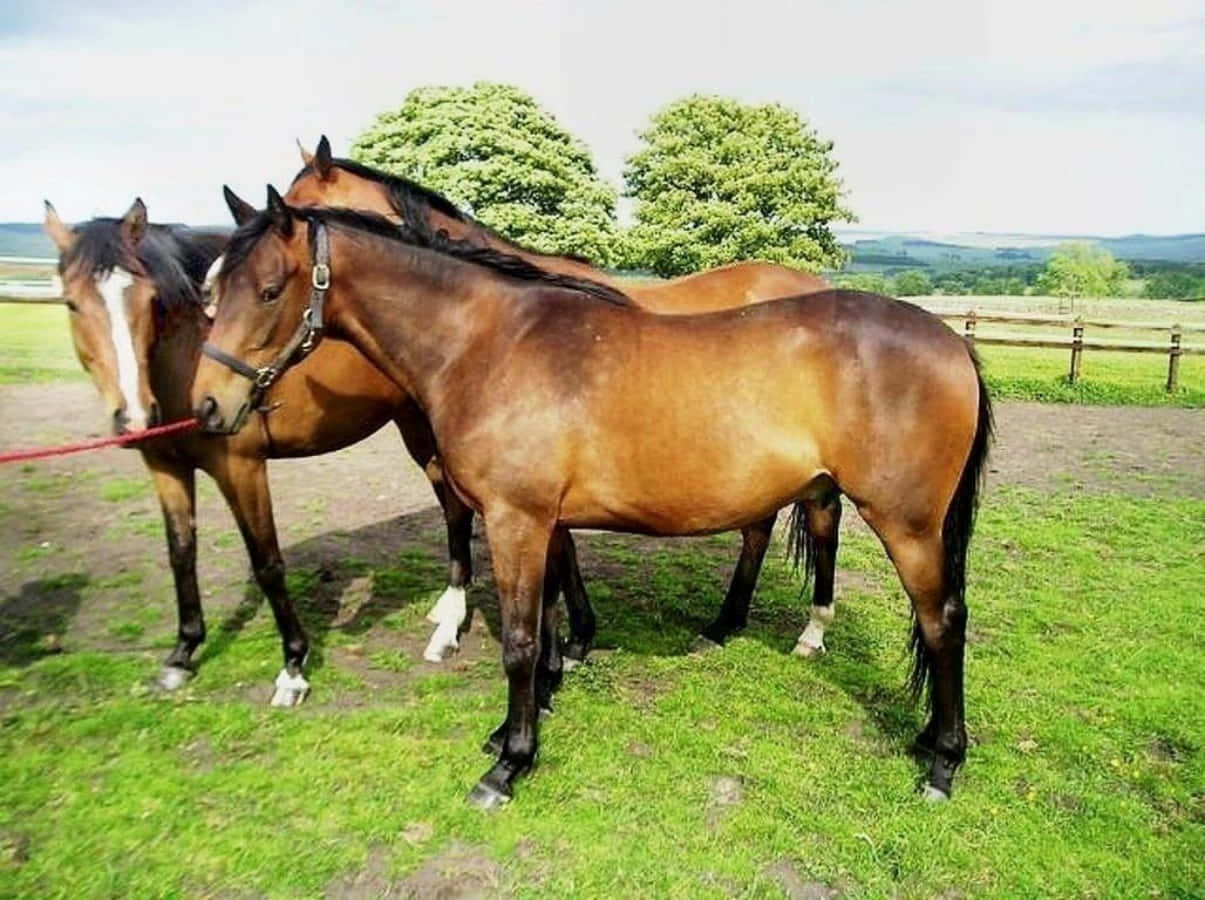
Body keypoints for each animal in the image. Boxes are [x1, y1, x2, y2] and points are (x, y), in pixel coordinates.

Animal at [192, 193, 992, 807]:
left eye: (269, 290)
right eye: (210, 291)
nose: (207, 406)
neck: (490, 344)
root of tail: (950, 342)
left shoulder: (515, 519)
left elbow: (519, 642)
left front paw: (508, 764)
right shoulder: (542, 521)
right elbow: (547, 619)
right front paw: (525, 718)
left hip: (907, 524)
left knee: (942, 621)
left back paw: (942, 761)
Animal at [282, 136, 844, 662]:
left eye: (301, 208)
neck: (491, 317)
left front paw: (573, 638)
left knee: (815, 523)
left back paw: (794, 630)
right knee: (762, 526)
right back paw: (729, 622)